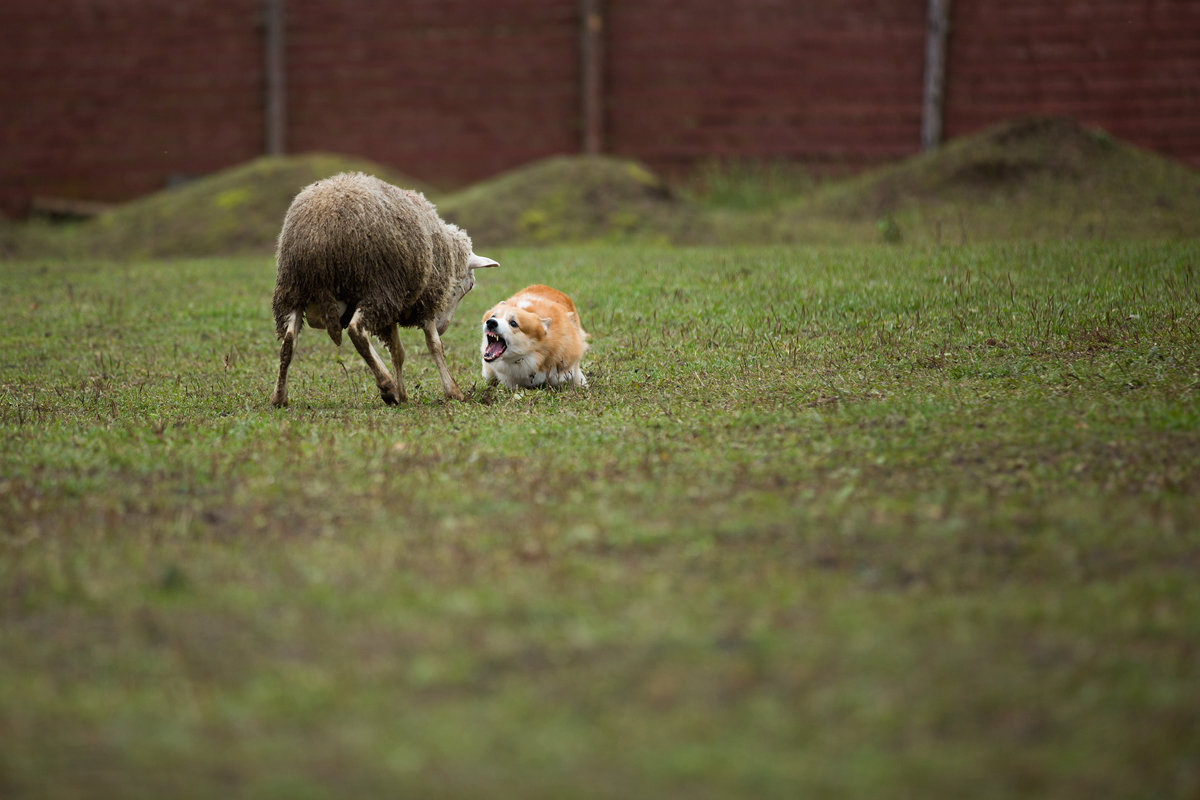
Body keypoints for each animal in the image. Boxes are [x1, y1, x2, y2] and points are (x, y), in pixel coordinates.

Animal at [270, 173, 494, 407]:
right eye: (469, 285)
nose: (443, 326)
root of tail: (318, 238)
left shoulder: (394, 313)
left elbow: (398, 352)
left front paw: (403, 395)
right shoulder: (424, 302)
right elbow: (434, 345)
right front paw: (453, 392)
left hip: (291, 291)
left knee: (288, 342)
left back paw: (279, 397)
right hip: (379, 289)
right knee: (356, 331)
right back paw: (387, 386)